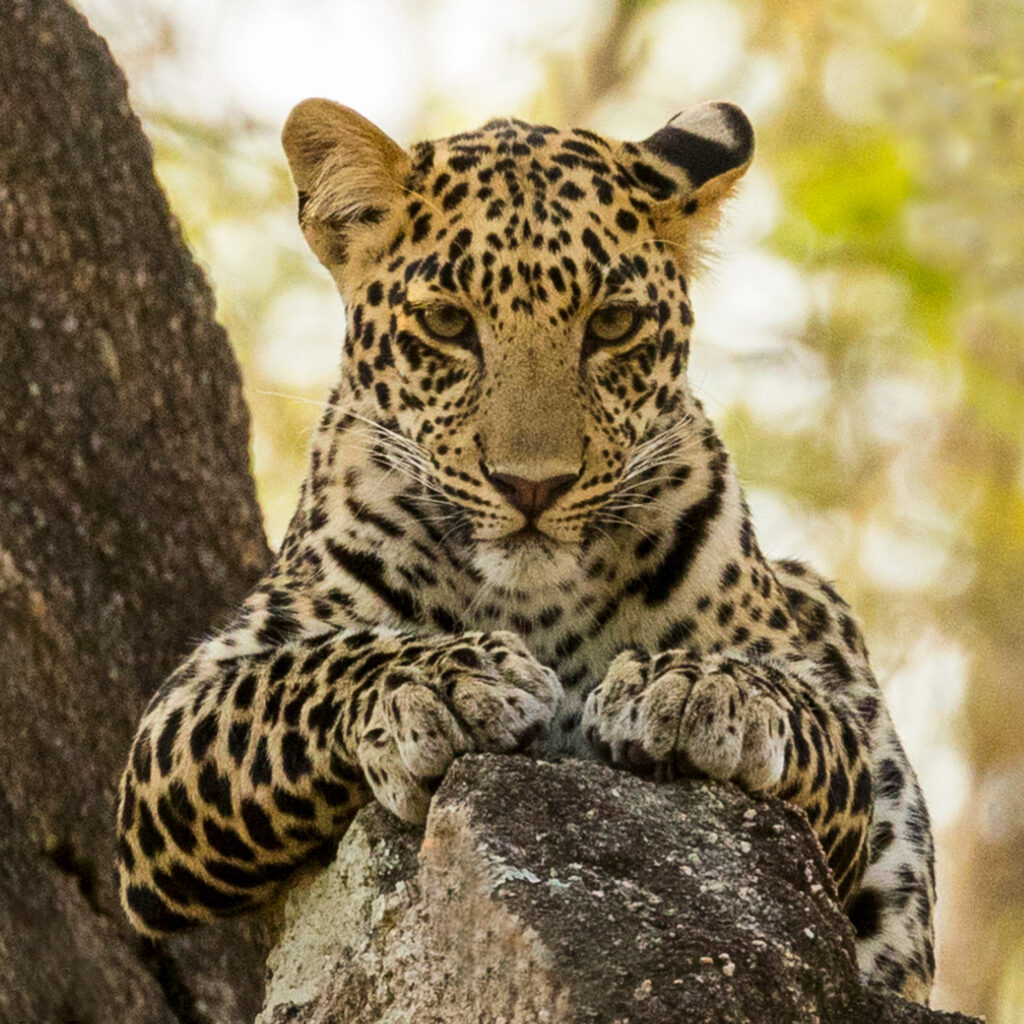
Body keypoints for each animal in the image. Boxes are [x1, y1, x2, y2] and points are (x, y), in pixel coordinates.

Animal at [115, 98, 936, 1004]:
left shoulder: (822, 693)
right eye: (447, 323)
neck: (533, 600)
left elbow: (807, 707)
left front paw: (698, 687)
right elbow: (300, 674)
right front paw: (440, 683)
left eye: (612, 324)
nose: (532, 486)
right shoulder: (178, 722)